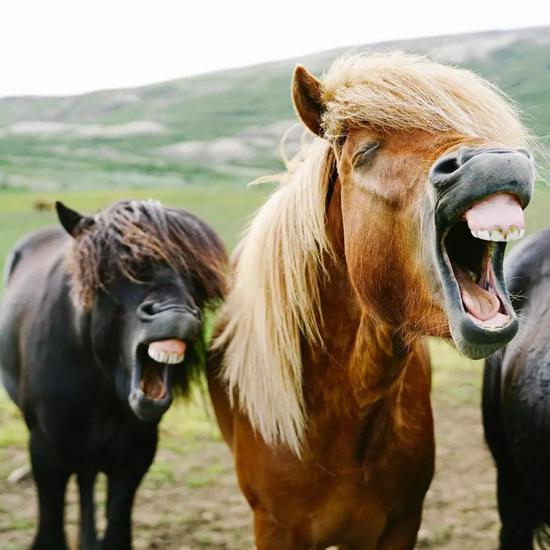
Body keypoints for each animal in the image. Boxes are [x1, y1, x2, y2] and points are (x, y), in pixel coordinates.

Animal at [0, 201, 226, 548]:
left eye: (194, 275)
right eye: (112, 272)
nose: (175, 313)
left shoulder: (134, 457)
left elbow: (117, 532)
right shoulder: (46, 453)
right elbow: (51, 532)